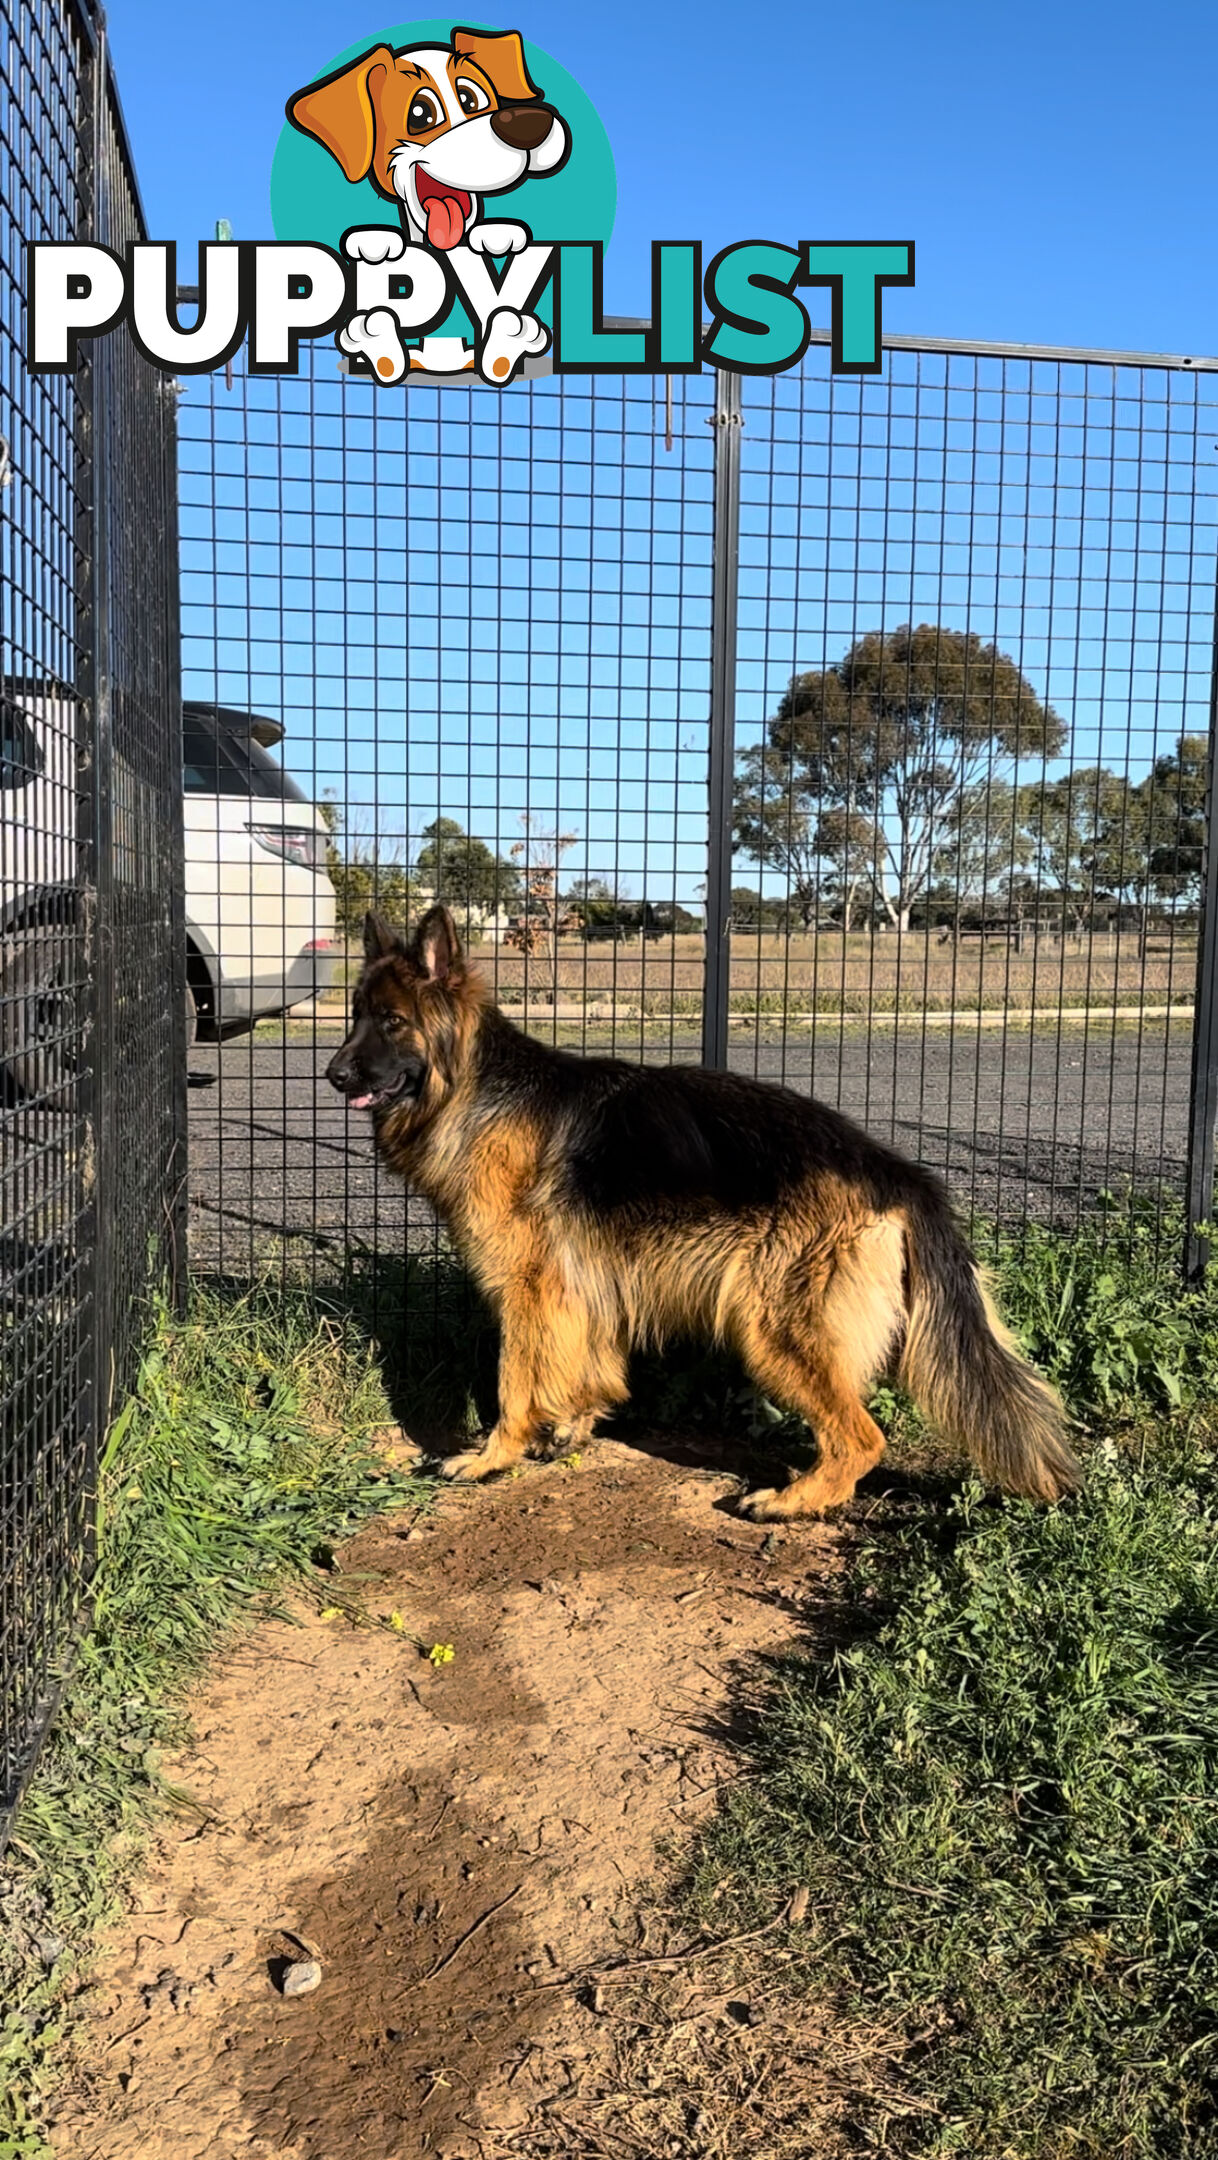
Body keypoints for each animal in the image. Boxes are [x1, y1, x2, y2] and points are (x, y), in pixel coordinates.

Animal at [328, 911, 1079, 1520]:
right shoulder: (583, 1285)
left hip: (773, 1329)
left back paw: (793, 1501)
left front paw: (491, 1457)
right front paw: (573, 1426)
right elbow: (588, 1366)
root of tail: (898, 1173)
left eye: (392, 1021)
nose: (333, 1075)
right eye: (353, 1015)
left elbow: (515, 1382)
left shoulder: (527, 1290)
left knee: (862, 1439)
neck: (477, 1089)